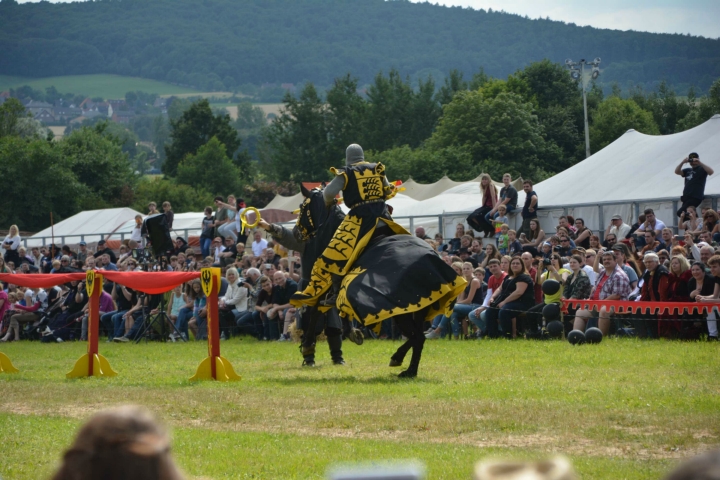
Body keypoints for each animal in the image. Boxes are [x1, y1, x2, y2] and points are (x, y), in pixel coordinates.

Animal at [294, 186, 466, 376]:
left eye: (302, 206)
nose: (296, 232)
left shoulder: (334, 285)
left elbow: (317, 309)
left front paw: (309, 345)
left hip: (402, 312)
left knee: (418, 337)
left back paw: (407, 369)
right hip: (418, 308)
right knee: (418, 337)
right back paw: (403, 363)